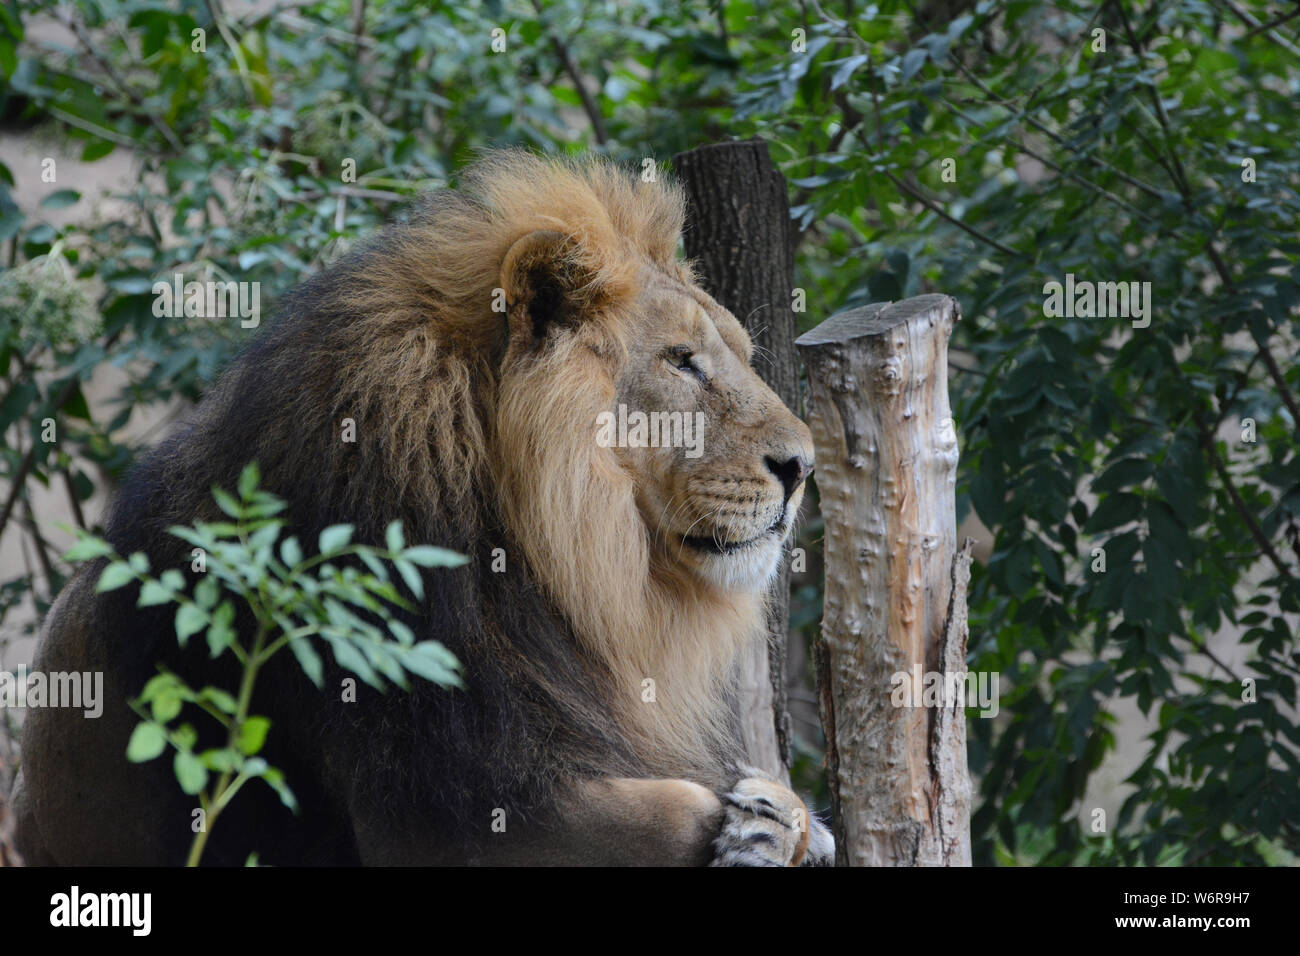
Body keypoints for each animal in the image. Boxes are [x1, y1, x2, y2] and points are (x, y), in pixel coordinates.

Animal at [13, 151, 832, 866]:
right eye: (681, 362)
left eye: (736, 354)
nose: (803, 467)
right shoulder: (437, 810)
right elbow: (677, 809)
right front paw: (763, 830)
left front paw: (790, 821)